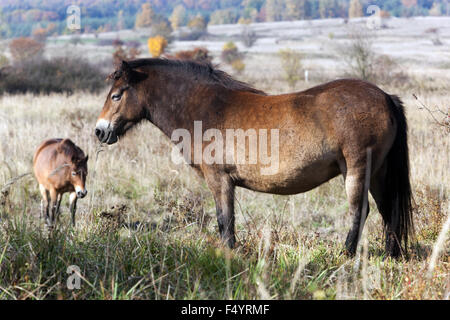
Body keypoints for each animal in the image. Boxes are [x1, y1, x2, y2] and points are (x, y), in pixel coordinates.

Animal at [96, 58, 414, 256]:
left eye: (116, 95)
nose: (100, 131)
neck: (206, 108)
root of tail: (385, 97)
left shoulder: (219, 180)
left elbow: (225, 222)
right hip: (379, 173)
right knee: (389, 211)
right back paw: (391, 256)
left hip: (358, 169)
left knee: (360, 212)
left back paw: (345, 256)